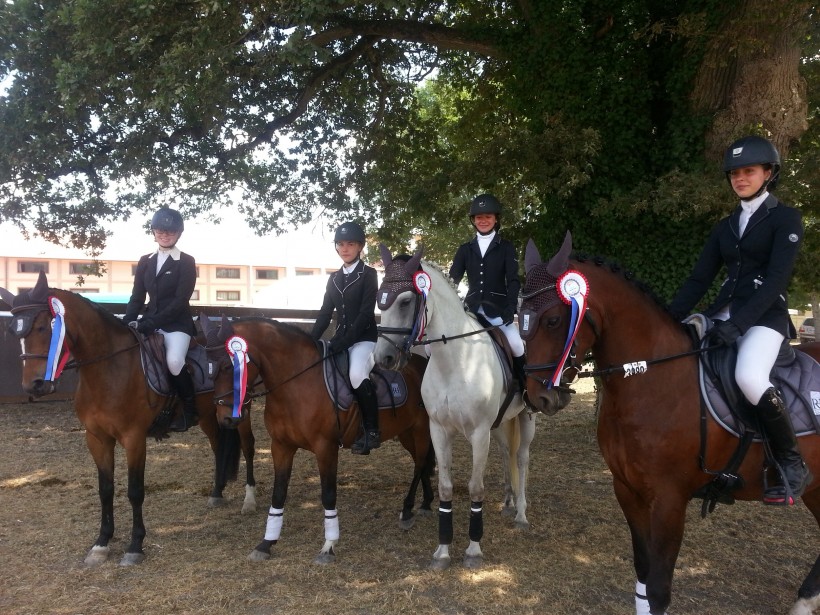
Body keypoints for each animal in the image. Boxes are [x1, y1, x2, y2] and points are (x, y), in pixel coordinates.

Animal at [0, 274, 256, 568]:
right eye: (14, 332)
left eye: (43, 327)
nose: (34, 386)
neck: (108, 370)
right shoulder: (97, 439)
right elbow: (106, 489)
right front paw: (101, 544)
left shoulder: (134, 439)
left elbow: (135, 491)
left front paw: (135, 546)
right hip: (209, 417)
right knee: (218, 447)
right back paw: (216, 493)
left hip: (240, 413)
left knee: (248, 447)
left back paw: (249, 500)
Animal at [200, 316, 436, 564]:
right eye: (209, 369)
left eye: (228, 366)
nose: (225, 419)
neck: (296, 383)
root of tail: (422, 363)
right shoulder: (281, 447)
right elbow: (279, 493)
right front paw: (266, 543)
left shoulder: (326, 448)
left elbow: (328, 495)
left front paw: (328, 546)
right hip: (406, 433)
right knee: (421, 463)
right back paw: (425, 503)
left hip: (421, 430)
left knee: (420, 464)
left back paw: (408, 510)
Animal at [374, 245, 540, 572]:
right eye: (379, 300)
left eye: (406, 301)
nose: (383, 358)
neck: (455, 361)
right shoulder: (439, 431)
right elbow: (446, 487)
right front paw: (442, 551)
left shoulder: (478, 433)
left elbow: (475, 488)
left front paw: (473, 550)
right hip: (499, 425)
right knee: (506, 453)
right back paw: (508, 501)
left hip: (525, 418)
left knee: (522, 458)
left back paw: (521, 514)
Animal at [520, 233, 820, 615]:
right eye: (520, 318)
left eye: (554, 321)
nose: (539, 398)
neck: (651, 378)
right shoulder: (627, 490)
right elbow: (643, 577)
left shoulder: (669, 500)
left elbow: (659, 590)